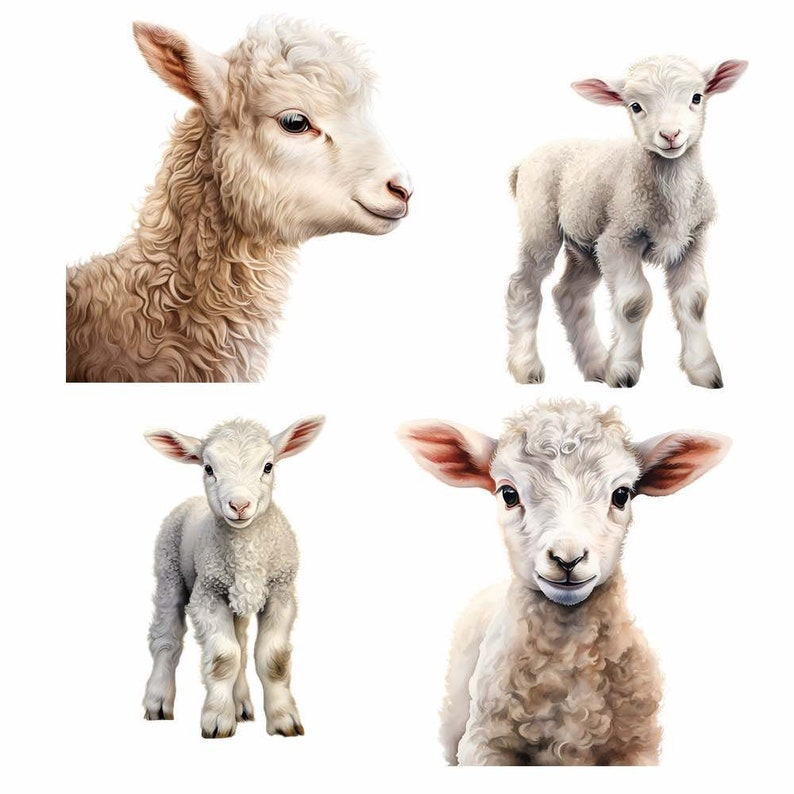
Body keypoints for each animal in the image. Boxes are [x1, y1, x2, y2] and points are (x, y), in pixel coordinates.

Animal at [142, 415, 324, 739]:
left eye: (268, 466)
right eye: (208, 468)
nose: (239, 505)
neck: (246, 547)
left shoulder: (281, 593)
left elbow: (272, 658)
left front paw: (284, 720)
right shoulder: (207, 596)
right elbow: (223, 658)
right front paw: (217, 720)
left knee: (240, 642)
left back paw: (240, 706)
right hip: (169, 572)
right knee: (166, 639)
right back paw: (158, 703)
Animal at [506, 56, 747, 388]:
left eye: (697, 97)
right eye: (635, 106)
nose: (670, 135)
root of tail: (521, 165)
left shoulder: (693, 241)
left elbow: (694, 302)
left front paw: (704, 372)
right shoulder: (619, 239)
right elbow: (634, 302)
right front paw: (623, 371)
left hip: (585, 244)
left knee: (569, 294)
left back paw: (597, 366)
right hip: (540, 224)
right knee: (524, 287)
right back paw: (527, 367)